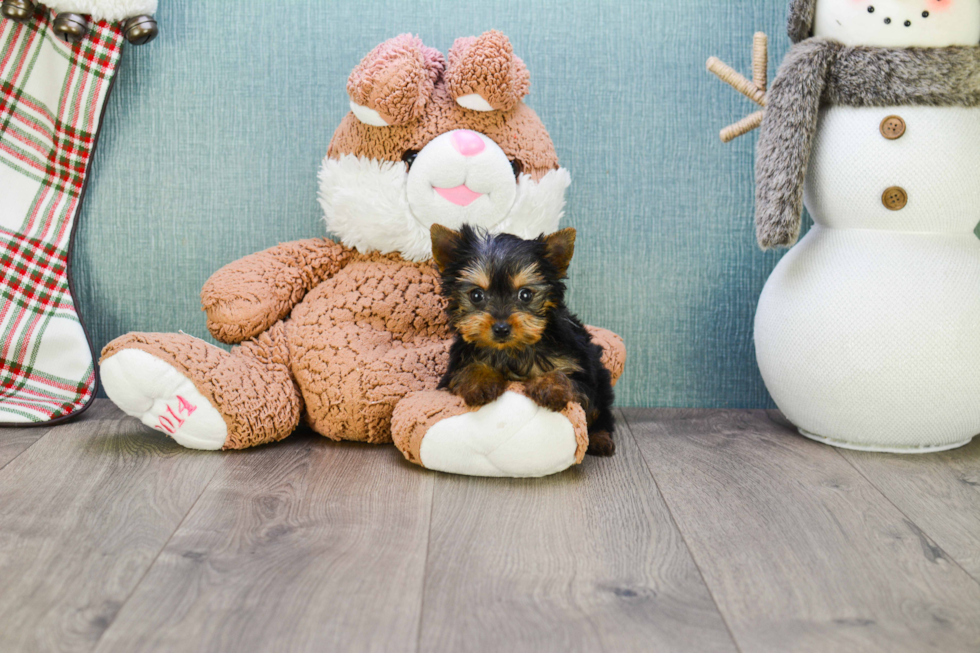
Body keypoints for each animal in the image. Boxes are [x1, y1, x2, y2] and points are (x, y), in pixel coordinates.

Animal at [428, 223, 612, 454]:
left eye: (525, 294)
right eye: (476, 295)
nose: (501, 328)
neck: (512, 350)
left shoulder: (582, 370)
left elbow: (568, 379)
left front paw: (550, 386)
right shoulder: (455, 368)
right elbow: (467, 370)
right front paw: (480, 382)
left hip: (601, 378)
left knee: (601, 411)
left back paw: (600, 438)